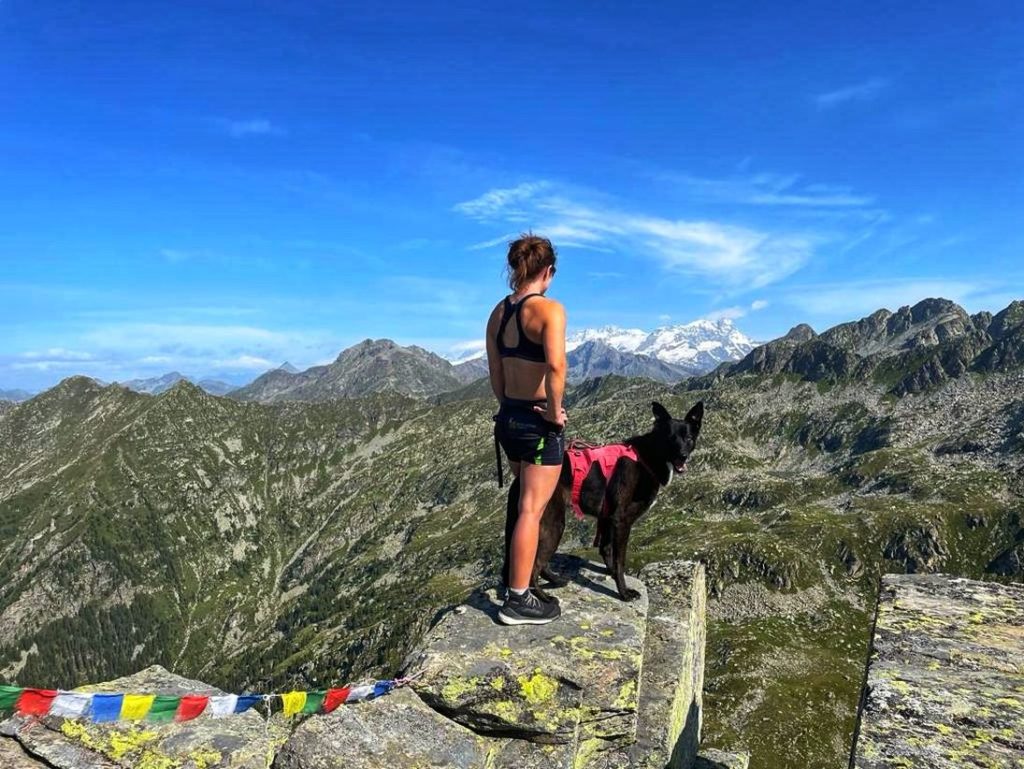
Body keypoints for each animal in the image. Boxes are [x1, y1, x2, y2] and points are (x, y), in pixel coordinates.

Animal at [501, 399, 704, 606]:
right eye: (670, 438)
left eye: (688, 438)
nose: (682, 455)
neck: (647, 456)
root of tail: (519, 480)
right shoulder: (622, 521)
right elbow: (620, 560)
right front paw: (624, 593)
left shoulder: (607, 518)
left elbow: (606, 549)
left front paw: (612, 575)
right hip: (553, 524)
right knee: (533, 567)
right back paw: (544, 597)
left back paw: (556, 580)